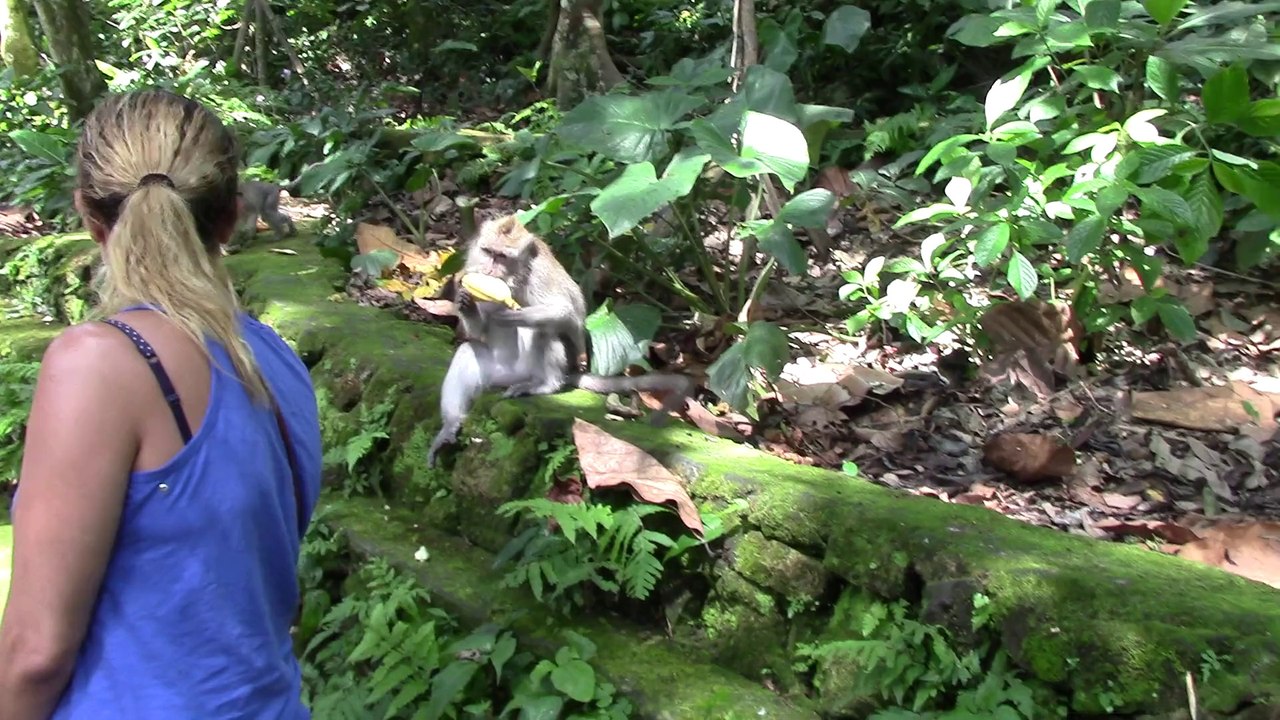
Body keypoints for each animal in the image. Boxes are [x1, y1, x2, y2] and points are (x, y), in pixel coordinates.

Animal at [425, 214, 696, 467]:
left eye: (502, 257)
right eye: (488, 252)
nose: (490, 271)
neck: (514, 277)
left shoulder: (539, 275)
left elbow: (565, 311)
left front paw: (515, 315)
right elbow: (478, 330)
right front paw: (465, 303)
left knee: (546, 331)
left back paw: (546, 385)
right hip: (499, 374)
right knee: (468, 351)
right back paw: (450, 427)